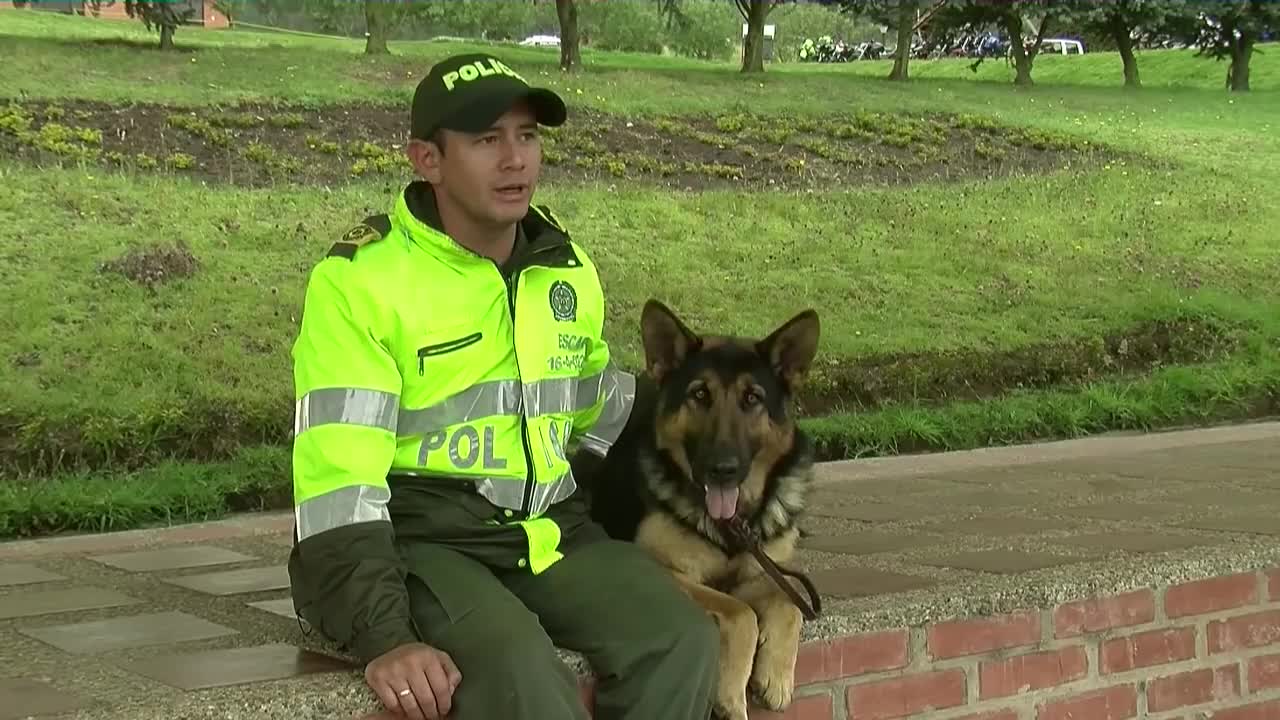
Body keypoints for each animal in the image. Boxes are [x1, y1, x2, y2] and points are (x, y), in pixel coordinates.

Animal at [586, 297, 824, 717]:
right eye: (699, 395)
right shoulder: (664, 570)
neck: (733, 524)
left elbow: (790, 601)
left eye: (752, 398)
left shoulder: (762, 572)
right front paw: (731, 695)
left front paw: (777, 674)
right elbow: (741, 614)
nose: (722, 469)